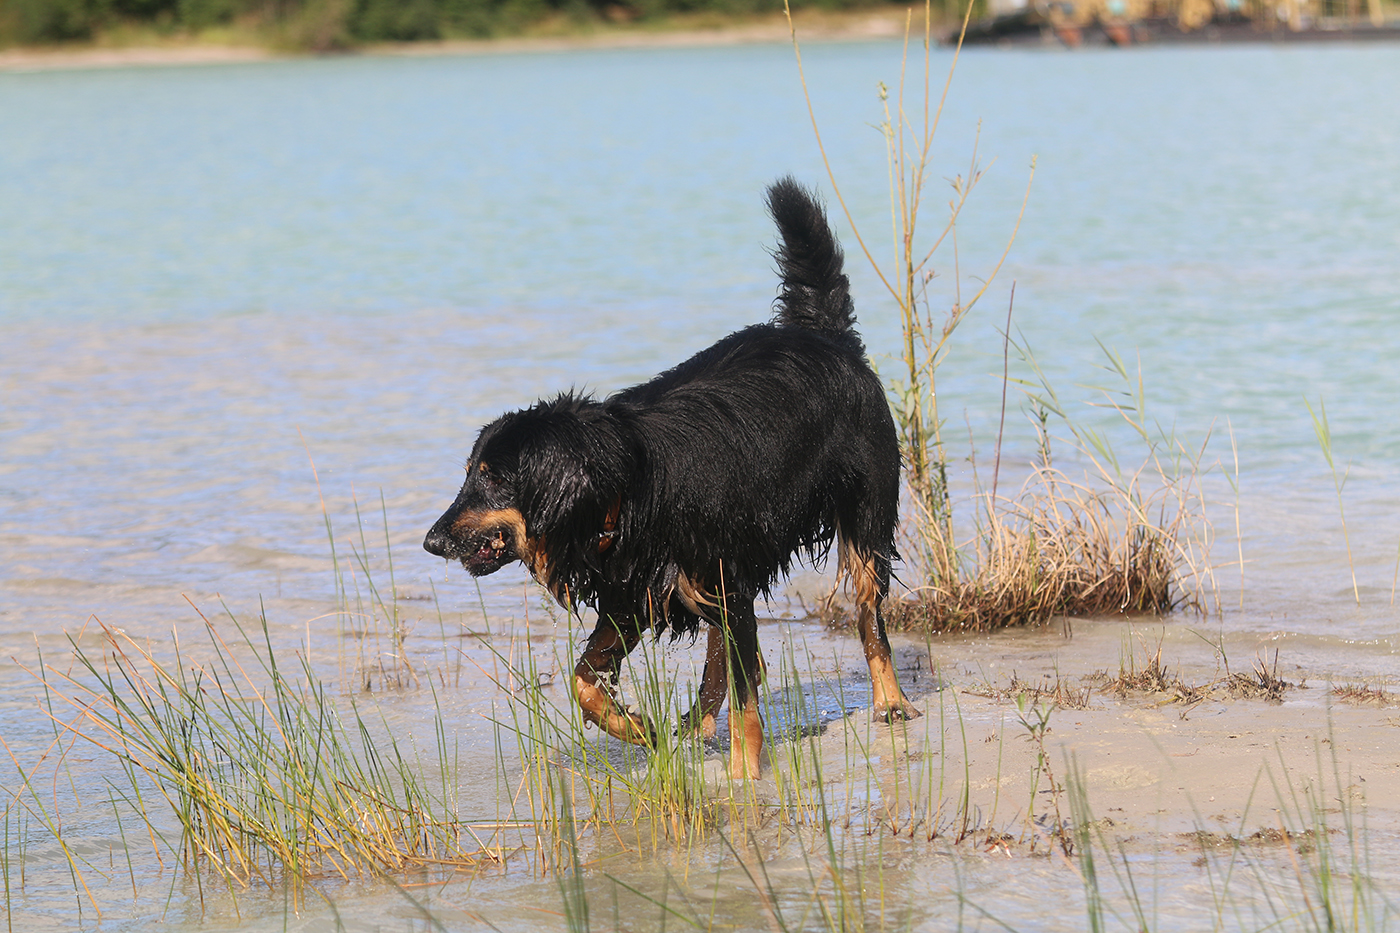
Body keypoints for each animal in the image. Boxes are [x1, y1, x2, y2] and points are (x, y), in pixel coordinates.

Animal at [424, 177, 919, 779]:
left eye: (493, 478)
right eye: (470, 474)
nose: (431, 541)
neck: (628, 483)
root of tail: (827, 336)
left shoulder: (722, 579)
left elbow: (747, 695)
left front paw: (744, 776)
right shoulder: (634, 591)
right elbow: (585, 679)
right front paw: (639, 728)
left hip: (864, 514)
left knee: (869, 615)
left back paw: (890, 700)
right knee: (721, 654)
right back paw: (694, 725)